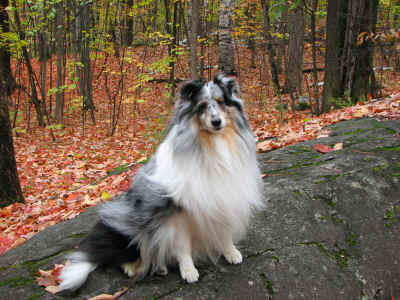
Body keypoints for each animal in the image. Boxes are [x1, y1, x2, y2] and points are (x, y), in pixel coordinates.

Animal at [57, 74, 264, 292]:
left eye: (221, 102)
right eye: (201, 106)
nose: (216, 122)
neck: (212, 145)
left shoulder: (222, 201)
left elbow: (224, 233)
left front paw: (230, 252)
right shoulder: (177, 213)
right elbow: (182, 246)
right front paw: (188, 271)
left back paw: (160, 266)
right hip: (130, 224)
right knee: (119, 256)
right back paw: (136, 267)